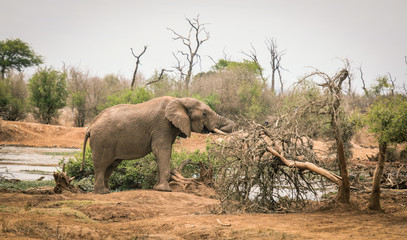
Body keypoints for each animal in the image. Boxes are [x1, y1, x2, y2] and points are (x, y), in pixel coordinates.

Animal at [81, 95, 234, 193]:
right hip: (102, 140)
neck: (180, 99)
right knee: (102, 164)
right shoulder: (162, 125)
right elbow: (161, 150)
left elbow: (164, 152)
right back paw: (102, 192)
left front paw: (157, 188)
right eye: (204, 114)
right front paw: (165, 190)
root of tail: (90, 126)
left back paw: (106, 190)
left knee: (111, 165)